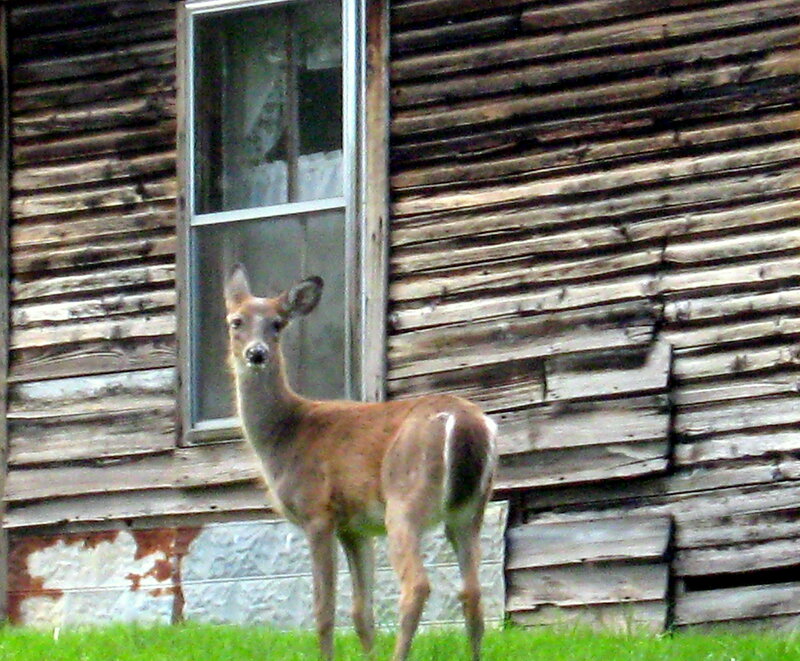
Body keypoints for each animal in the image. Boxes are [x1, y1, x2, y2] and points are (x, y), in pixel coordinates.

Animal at [223, 264, 498, 661]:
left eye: (277, 323)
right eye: (236, 321)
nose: (256, 354)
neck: (285, 433)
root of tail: (468, 423)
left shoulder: (318, 512)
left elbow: (324, 609)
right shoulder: (355, 527)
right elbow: (361, 612)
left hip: (405, 500)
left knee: (417, 586)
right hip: (470, 512)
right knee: (472, 592)